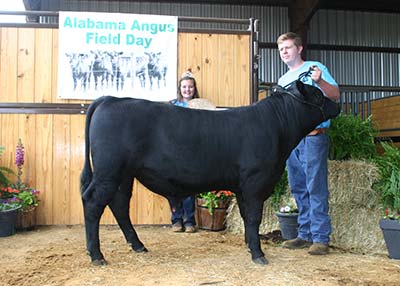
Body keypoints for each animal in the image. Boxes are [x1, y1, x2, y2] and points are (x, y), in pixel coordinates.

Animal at [81, 79, 340, 264]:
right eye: (318, 95)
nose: (337, 104)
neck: (277, 126)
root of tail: (109, 99)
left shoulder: (242, 186)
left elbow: (246, 216)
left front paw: (250, 246)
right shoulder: (255, 181)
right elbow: (253, 217)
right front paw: (258, 254)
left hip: (124, 175)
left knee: (119, 205)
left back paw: (137, 245)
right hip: (109, 171)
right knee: (93, 202)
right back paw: (97, 255)